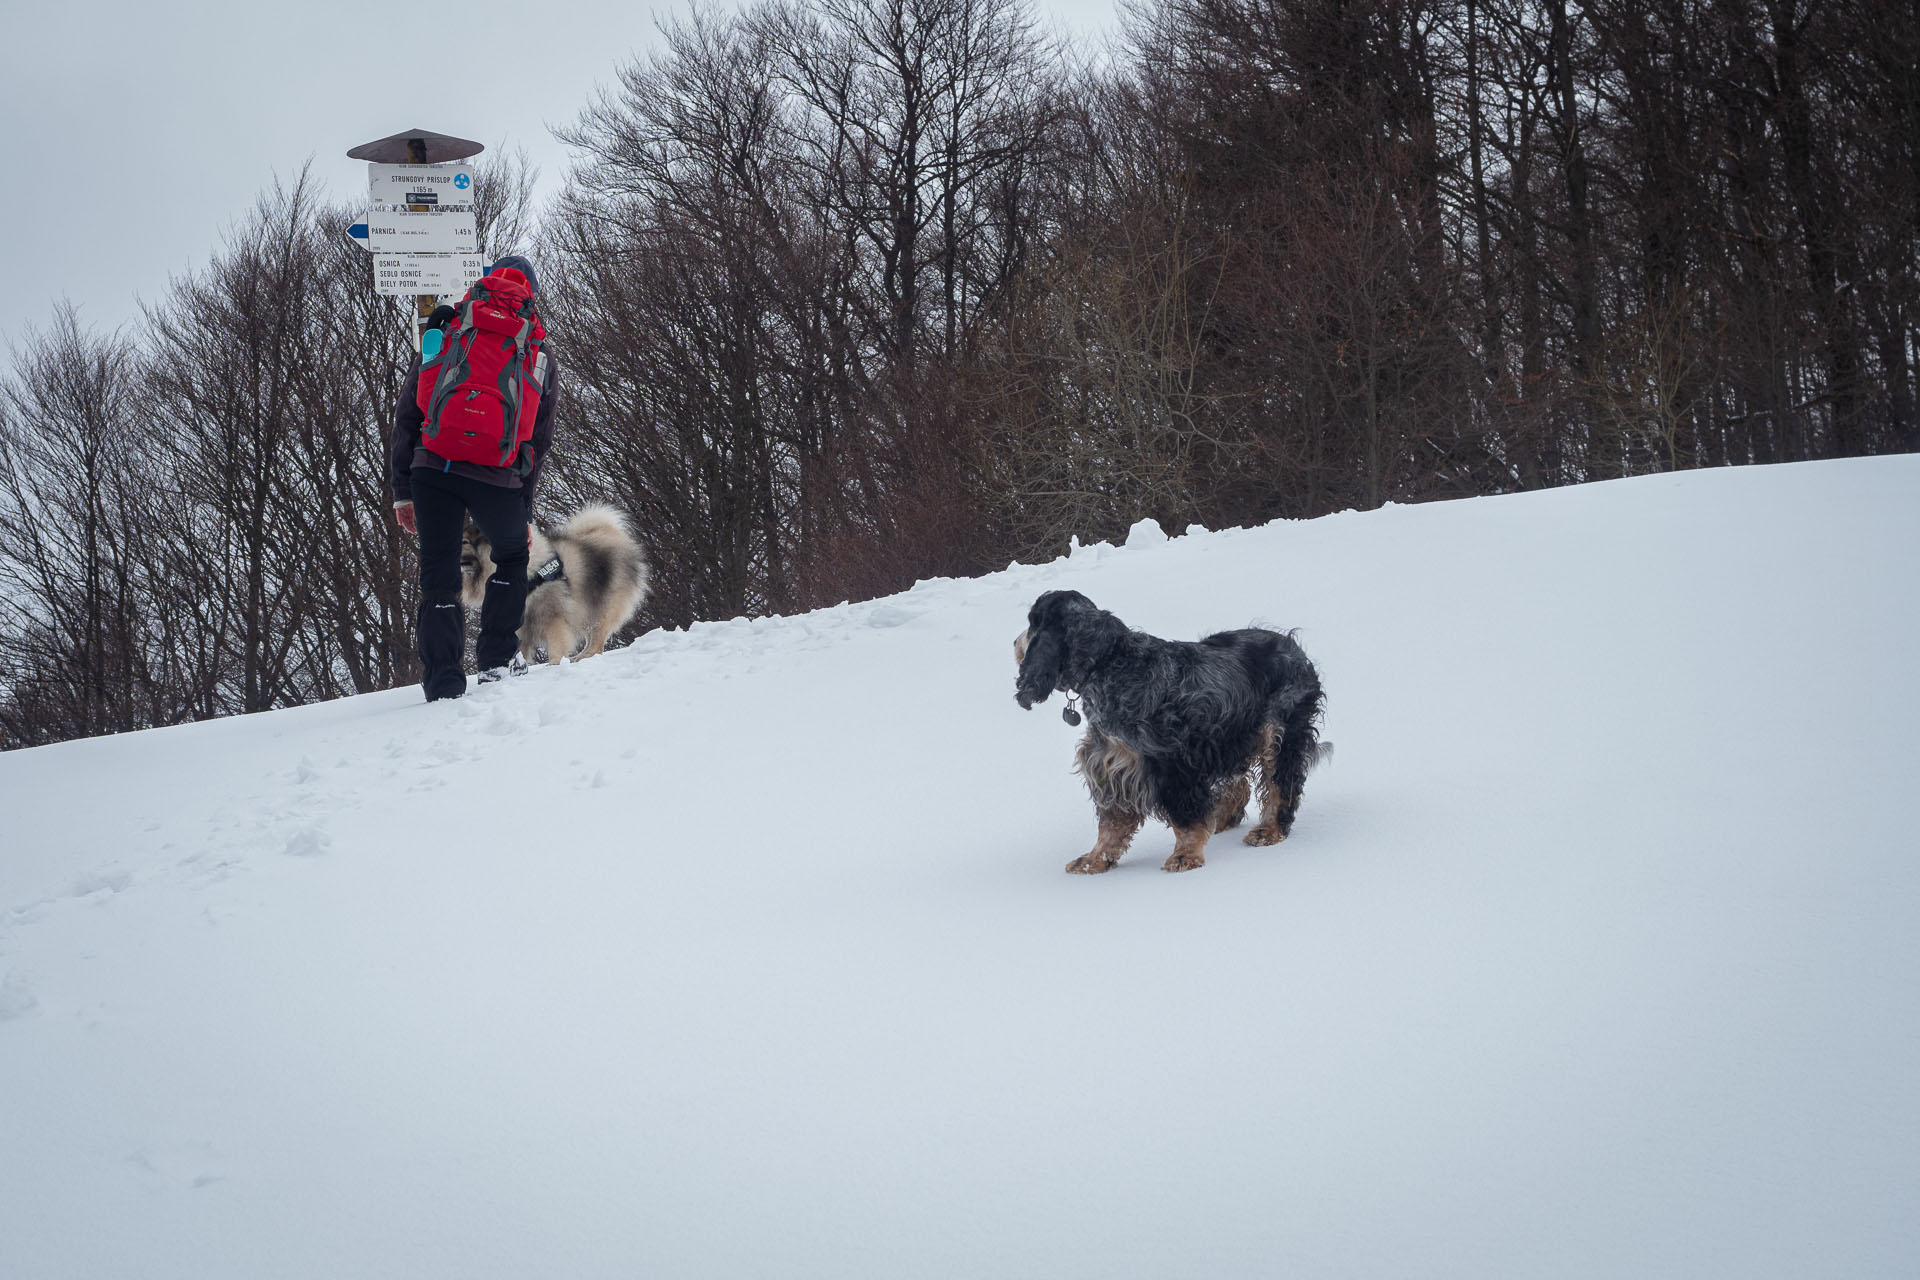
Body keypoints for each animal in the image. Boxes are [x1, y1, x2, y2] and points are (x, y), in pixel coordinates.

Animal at [1013, 591, 1328, 871]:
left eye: (1032, 623)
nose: (1014, 642)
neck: (1109, 663)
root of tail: (1291, 644)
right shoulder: (1111, 766)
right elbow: (1110, 824)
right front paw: (1093, 861)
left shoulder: (1172, 766)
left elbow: (1184, 820)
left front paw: (1185, 856)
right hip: (1230, 737)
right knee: (1238, 781)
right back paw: (1223, 817)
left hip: (1279, 733)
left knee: (1282, 784)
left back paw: (1269, 830)